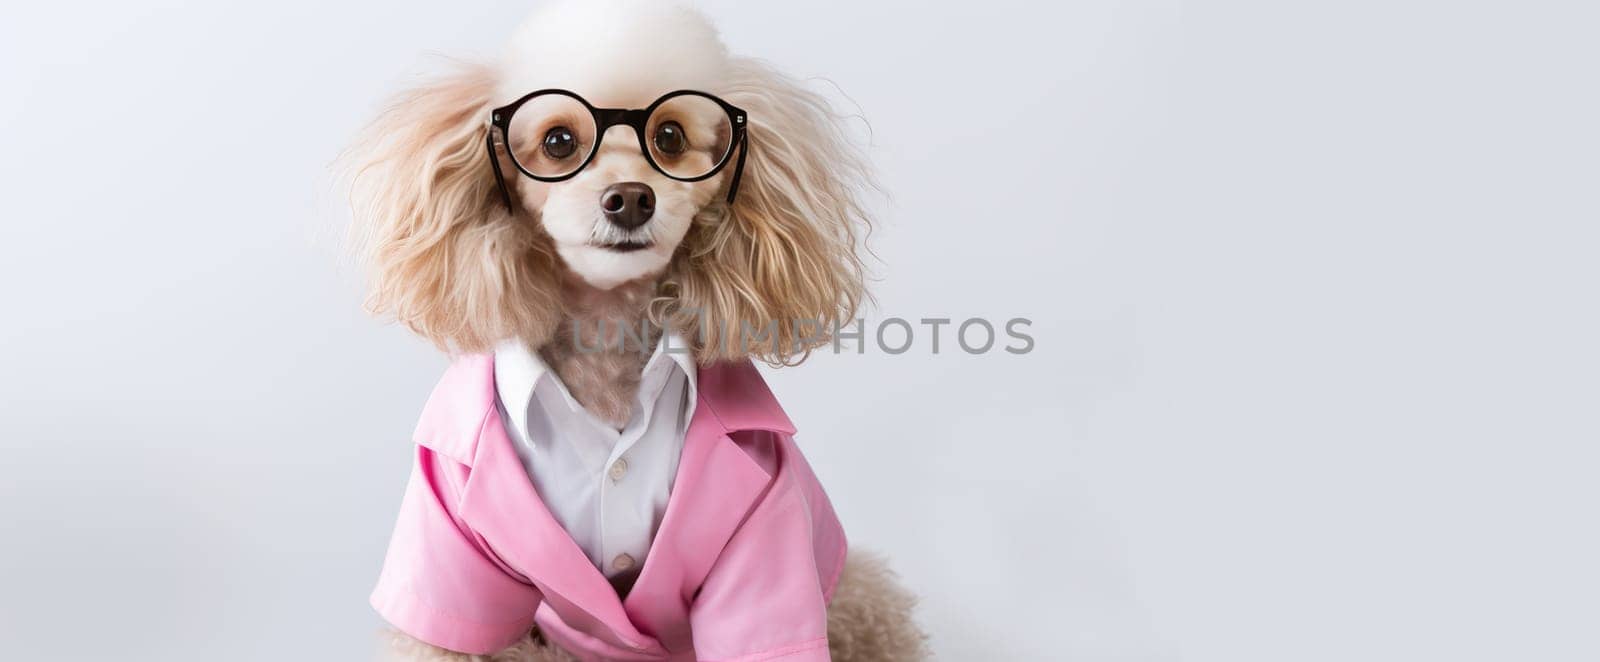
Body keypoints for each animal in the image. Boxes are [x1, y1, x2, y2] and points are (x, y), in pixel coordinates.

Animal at [344, 2, 934, 658]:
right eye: (557, 141)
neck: (606, 343)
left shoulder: (765, 524)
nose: (628, 198)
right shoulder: (448, 536)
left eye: (669, 137)